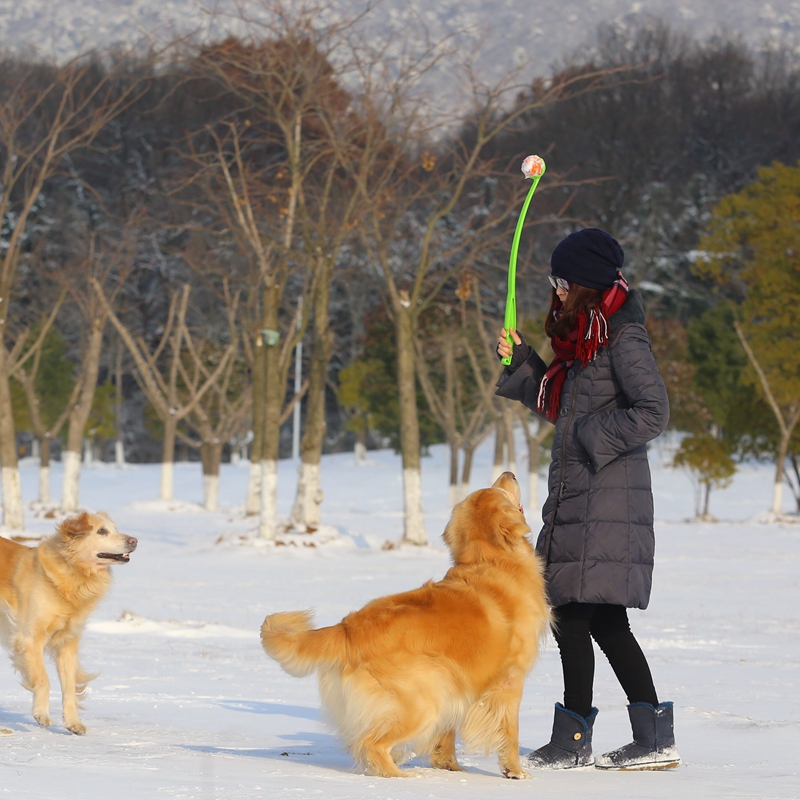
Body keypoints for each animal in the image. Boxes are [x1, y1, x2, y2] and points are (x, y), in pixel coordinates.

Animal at [0, 512, 137, 732]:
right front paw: (41, 714)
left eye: (115, 528)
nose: (134, 541)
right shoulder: (30, 640)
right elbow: (44, 679)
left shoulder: (67, 644)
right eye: (101, 531)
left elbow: (69, 687)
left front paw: (73, 722)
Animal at [260, 472, 548, 780]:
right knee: (371, 744)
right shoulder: (509, 682)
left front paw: (449, 765)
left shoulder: (460, 685)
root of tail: (348, 627)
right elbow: (510, 732)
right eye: (501, 492)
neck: (491, 559)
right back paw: (402, 776)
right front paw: (515, 772)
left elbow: (447, 734)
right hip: (422, 699)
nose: (509, 473)